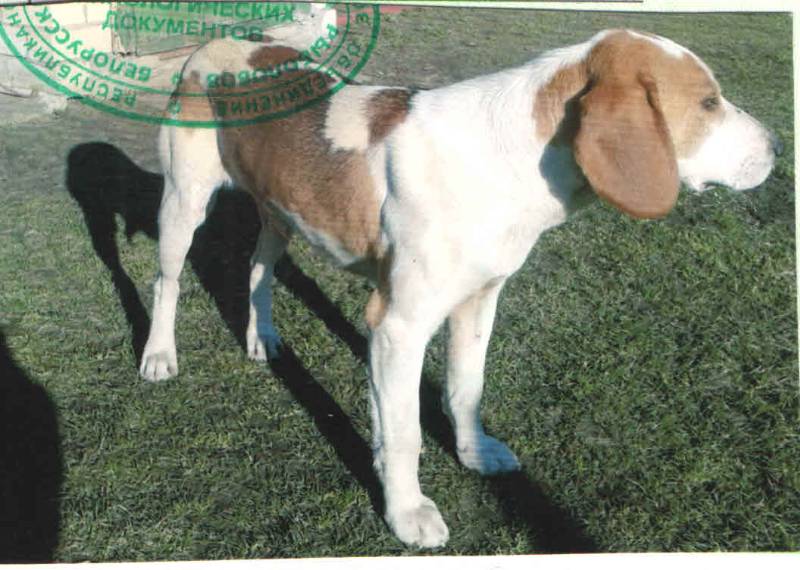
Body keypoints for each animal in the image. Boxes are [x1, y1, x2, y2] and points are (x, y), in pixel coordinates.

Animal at [139, 29, 779, 547]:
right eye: (708, 102)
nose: (777, 147)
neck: (507, 158)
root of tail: (217, 42)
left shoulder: (479, 301)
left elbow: (465, 389)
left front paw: (472, 451)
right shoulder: (397, 327)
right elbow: (403, 435)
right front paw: (406, 512)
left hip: (280, 213)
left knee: (257, 268)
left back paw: (261, 336)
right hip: (183, 205)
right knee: (167, 283)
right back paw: (159, 355)